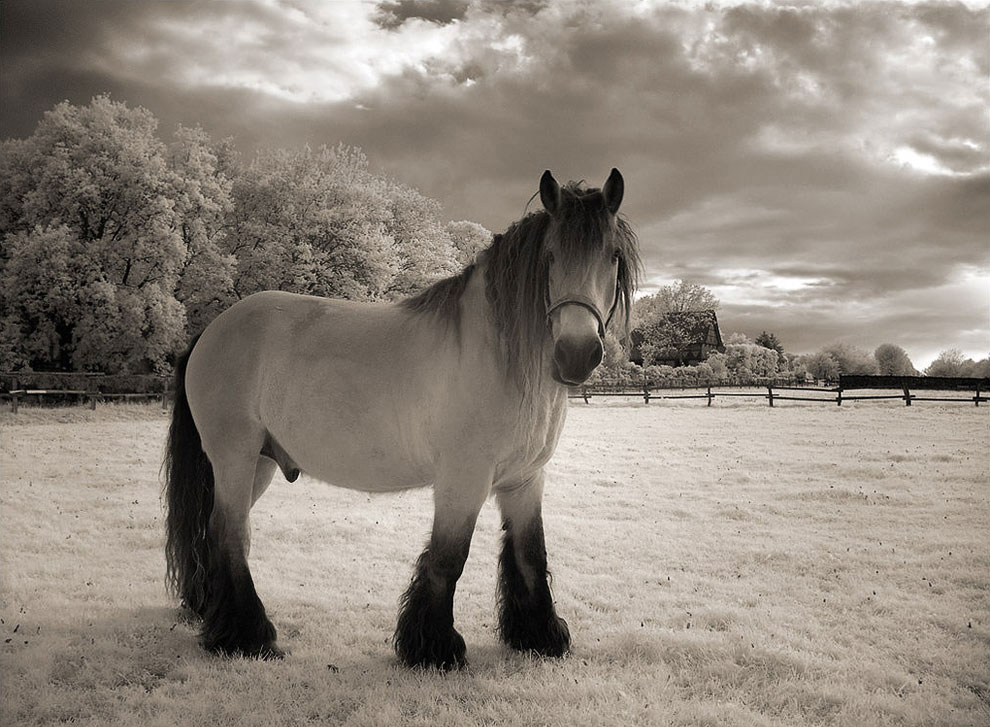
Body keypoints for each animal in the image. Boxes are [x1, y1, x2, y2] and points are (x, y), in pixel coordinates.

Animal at [163, 168, 644, 668]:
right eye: (550, 256)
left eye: (611, 256)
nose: (576, 353)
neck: (496, 354)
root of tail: (212, 330)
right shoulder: (462, 480)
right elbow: (449, 558)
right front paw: (433, 648)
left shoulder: (525, 481)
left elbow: (530, 554)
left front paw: (539, 636)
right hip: (234, 458)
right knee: (229, 535)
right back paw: (246, 636)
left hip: (257, 463)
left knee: (221, 533)